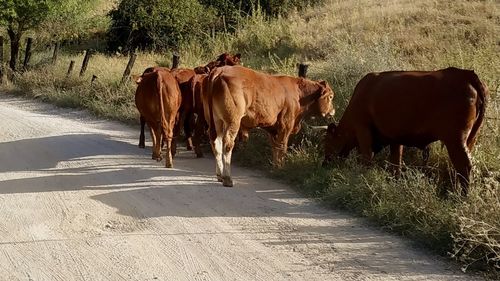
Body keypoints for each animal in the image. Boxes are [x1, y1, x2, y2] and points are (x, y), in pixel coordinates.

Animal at [203, 65, 336, 186]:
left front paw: (275, 168)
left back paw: (220, 175)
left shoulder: (273, 130)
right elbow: (282, 148)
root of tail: (219, 70)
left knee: (216, 142)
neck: (299, 95)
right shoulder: (285, 126)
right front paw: (281, 168)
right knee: (227, 143)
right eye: (330, 96)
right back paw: (227, 178)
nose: (333, 111)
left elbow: (275, 148)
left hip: (216, 121)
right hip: (232, 121)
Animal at [324, 67, 488, 195]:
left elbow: (367, 158)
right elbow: (396, 163)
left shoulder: (362, 129)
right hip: (470, 138)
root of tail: (465, 74)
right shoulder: (395, 139)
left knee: (464, 166)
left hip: (455, 139)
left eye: (327, 142)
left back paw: (462, 196)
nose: (325, 163)